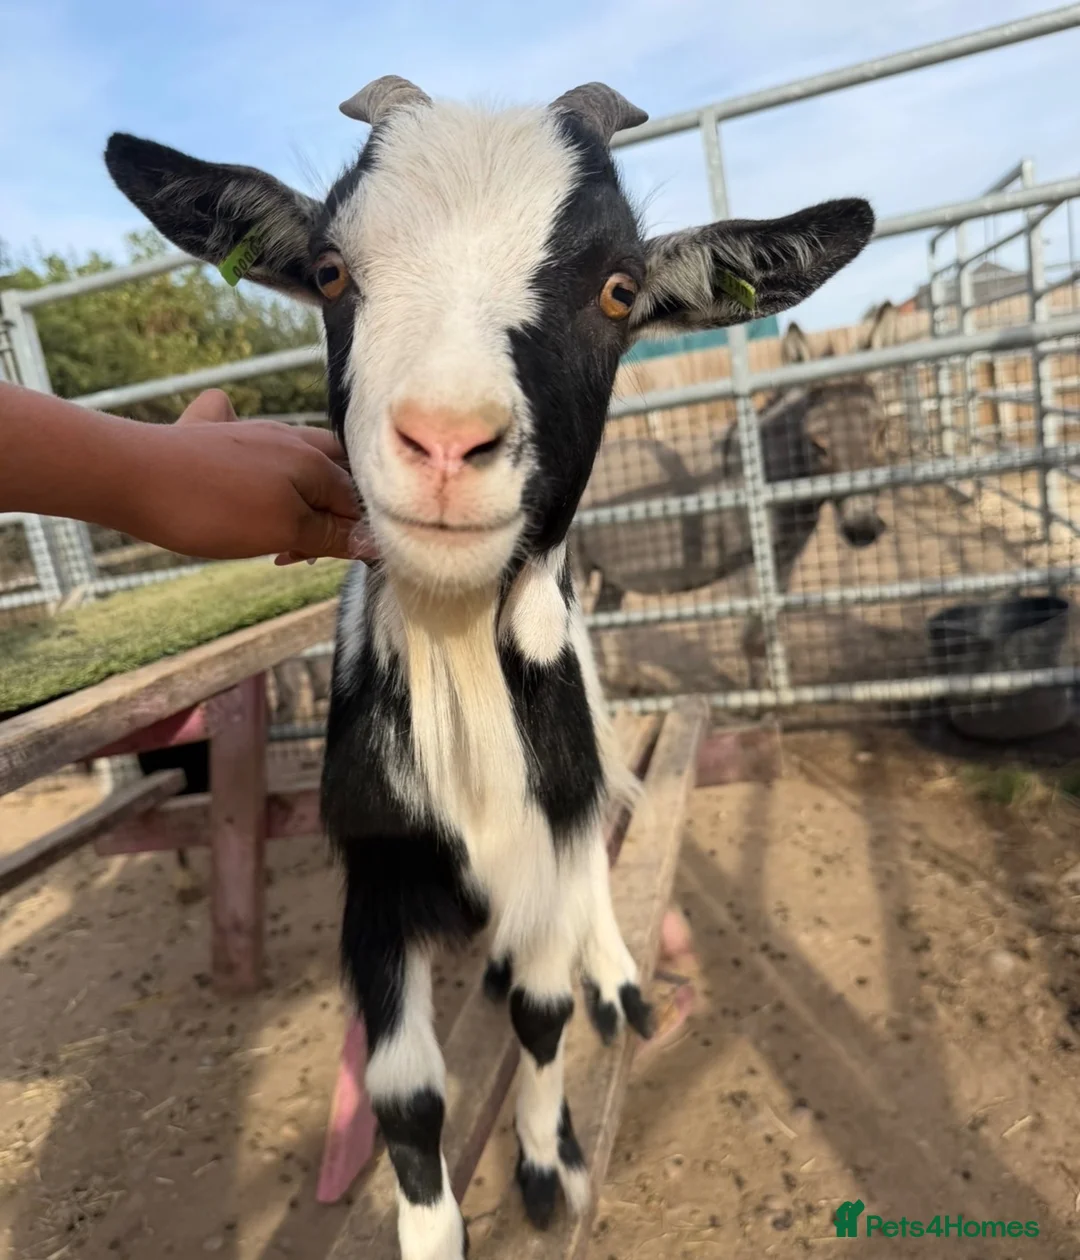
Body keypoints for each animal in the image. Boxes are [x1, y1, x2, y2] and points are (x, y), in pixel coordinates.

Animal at [572, 302, 897, 677]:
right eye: (818, 444)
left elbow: (771, 627)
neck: (766, 472)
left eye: (881, 432)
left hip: (610, 576)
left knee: (604, 622)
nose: (863, 528)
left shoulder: (783, 562)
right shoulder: (746, 566)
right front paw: (765, 689)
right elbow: (751, 638)